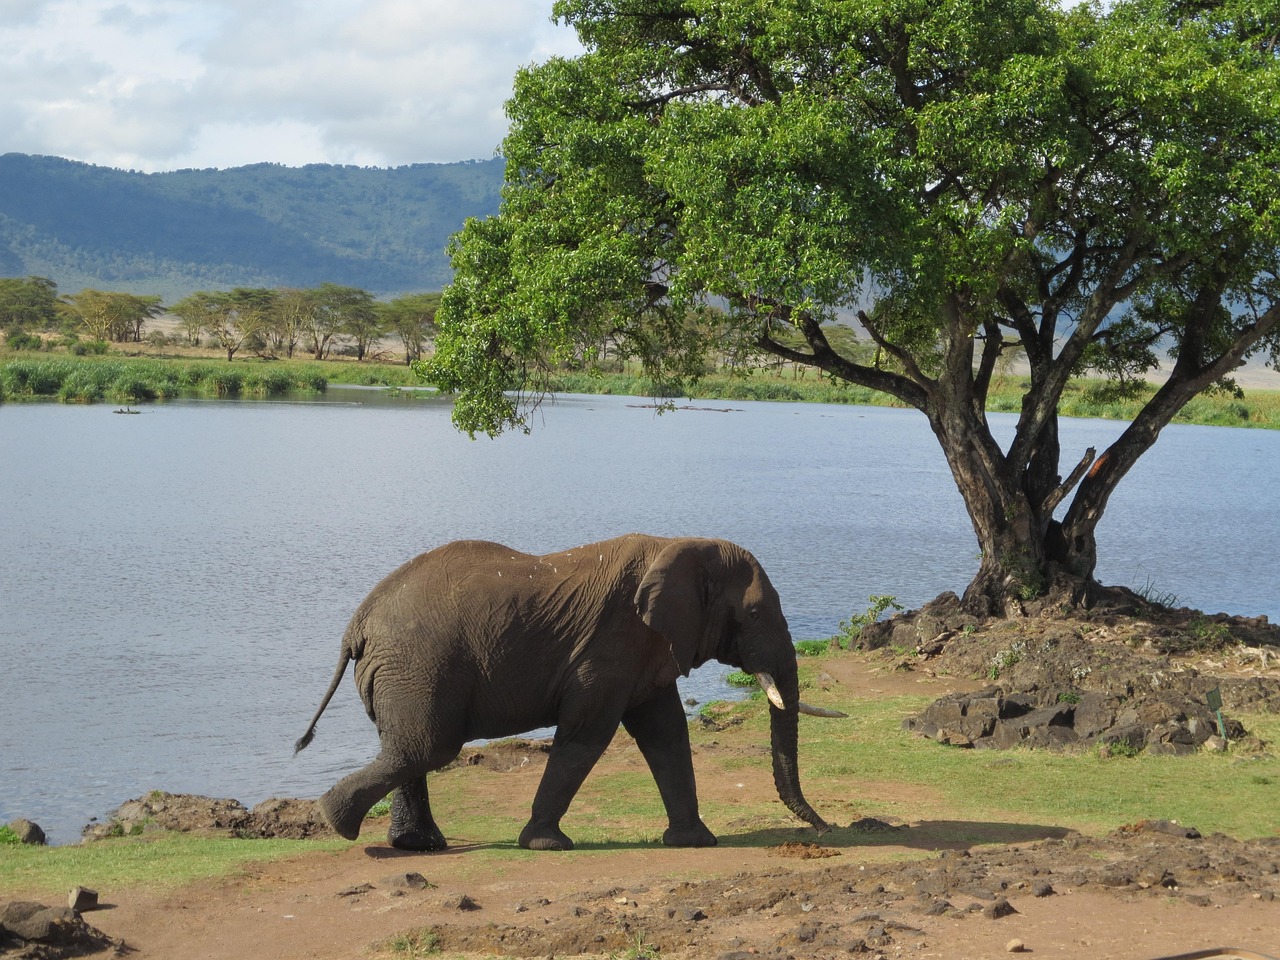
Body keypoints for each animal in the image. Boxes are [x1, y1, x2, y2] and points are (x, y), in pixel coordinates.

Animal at [294, 535, 844, 855]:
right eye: (753, 614)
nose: (826, 830)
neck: (682, 545)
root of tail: (357, 624)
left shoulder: (644, 648)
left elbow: (666, 733)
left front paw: (695, 843)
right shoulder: (611, 642)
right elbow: (588, 732)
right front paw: (546, 845)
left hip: (405, 671)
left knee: (411, 749)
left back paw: (416, 846)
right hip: (416, 665)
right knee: (426, 748)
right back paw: (335, 823)